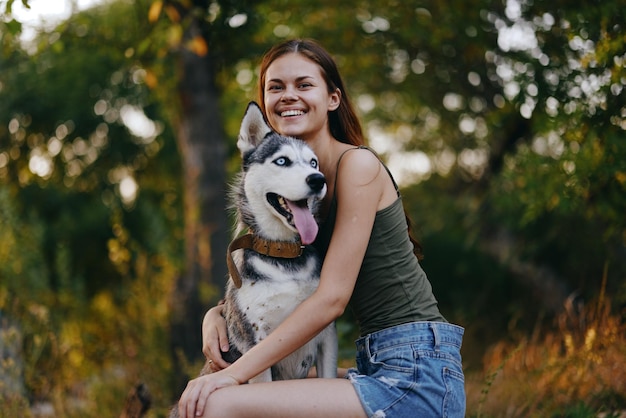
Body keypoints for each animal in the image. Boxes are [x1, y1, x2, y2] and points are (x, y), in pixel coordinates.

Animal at [169, 102, 336, 418]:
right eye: (282, 161)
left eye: (313, 163)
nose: (317, 180)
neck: (284, 255)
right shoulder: (256, 338)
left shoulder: (326, 335)